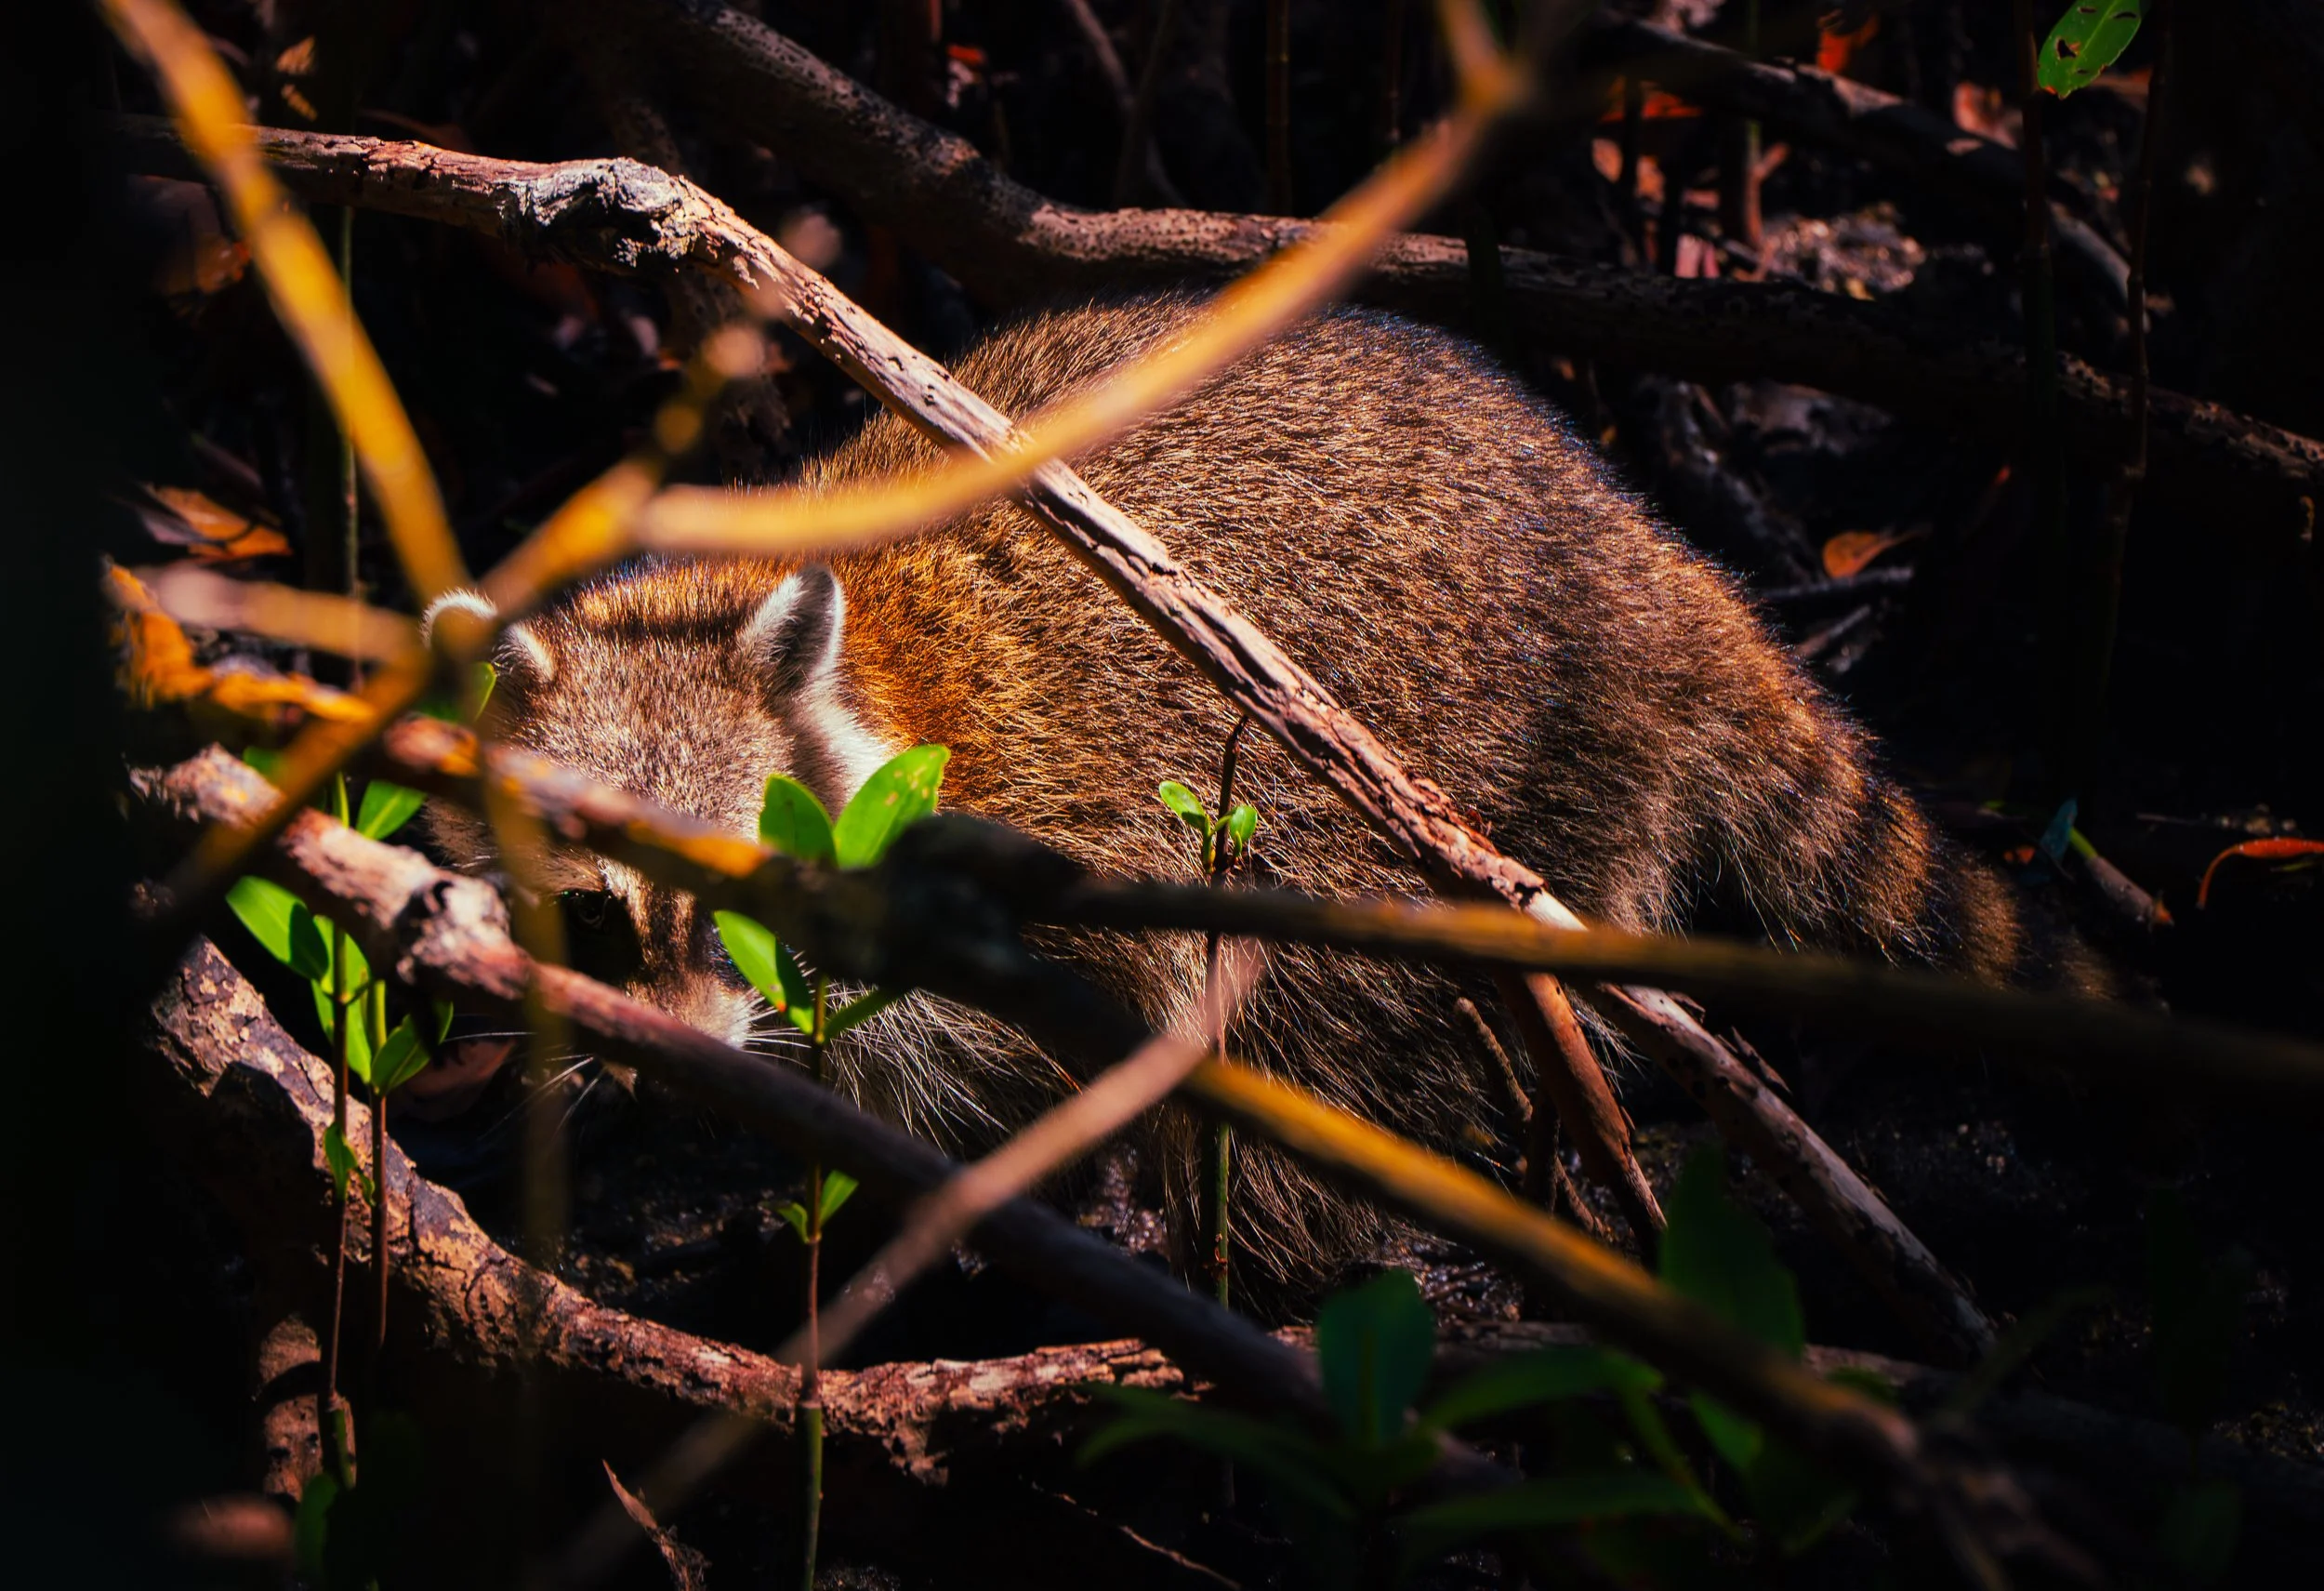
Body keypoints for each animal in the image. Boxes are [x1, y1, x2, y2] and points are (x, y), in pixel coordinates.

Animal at [425, 292, 2091, 1301]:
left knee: (1319, 1041)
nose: (675, 1059)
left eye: (746, 907)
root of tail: (1646, 557)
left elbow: (1091, 1051)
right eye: (590, 911)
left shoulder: (1035, 846)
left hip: (1456, 791)